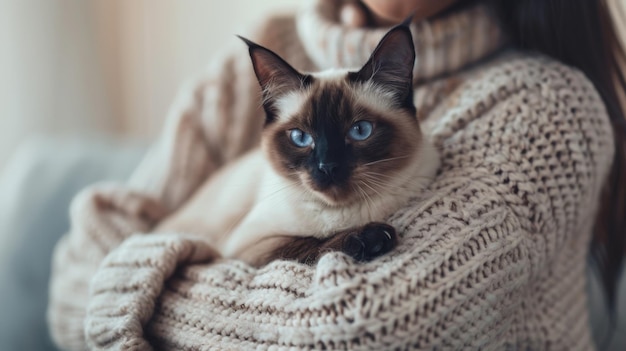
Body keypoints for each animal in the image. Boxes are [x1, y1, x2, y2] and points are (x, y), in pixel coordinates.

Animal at [154, 22, 438, 268]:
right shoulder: (246, 247)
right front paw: (372, 239)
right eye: (301, 138)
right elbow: (304, 243)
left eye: (360, 131)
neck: (342, 216)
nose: (328, 167)